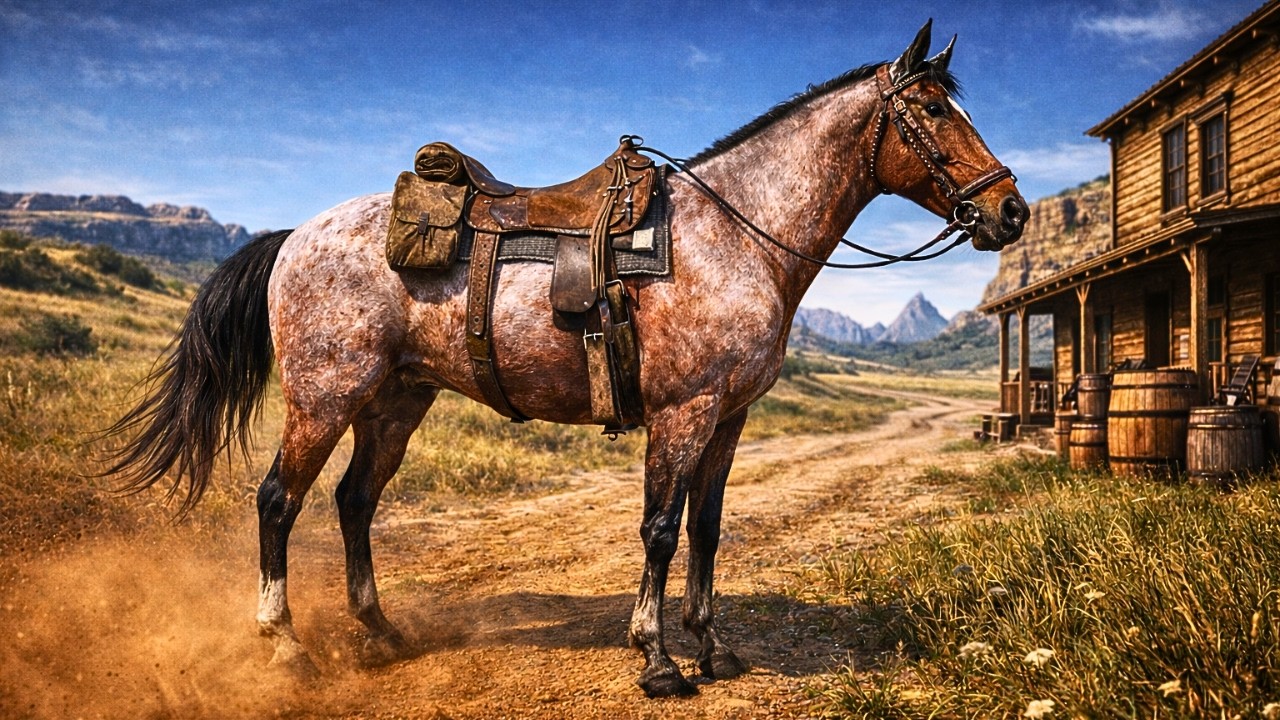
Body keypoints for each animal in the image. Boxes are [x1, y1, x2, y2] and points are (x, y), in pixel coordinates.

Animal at [104, 21, 1027, 698]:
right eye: (933, 110)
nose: (1011, 211)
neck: (734, 235)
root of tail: (296, 235)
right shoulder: (683, 411)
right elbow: (660, 529)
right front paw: (657, 659)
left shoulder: (729, 418)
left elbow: (707, 531)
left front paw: (713, 648)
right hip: (325, 397)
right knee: (277, 502)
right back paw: (285, 648)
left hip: (395, 401)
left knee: (354, 502)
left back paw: (382, 632)